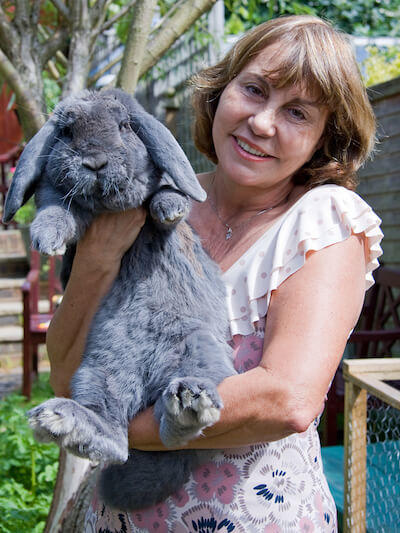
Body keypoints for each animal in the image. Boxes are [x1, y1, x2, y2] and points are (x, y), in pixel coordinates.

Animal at [1, 89, 236, 510]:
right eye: (66, 131)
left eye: (126, 125)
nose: (94, 161)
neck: (109, 204)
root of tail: (150, 382)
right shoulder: (62, 202)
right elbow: (58, 210)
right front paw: (47, 238)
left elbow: (166, 191)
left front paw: (171, 208)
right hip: (99, 371)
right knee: (117, 438)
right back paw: (71, 423)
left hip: (200, 349)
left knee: (181, 425)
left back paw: (189, 402)